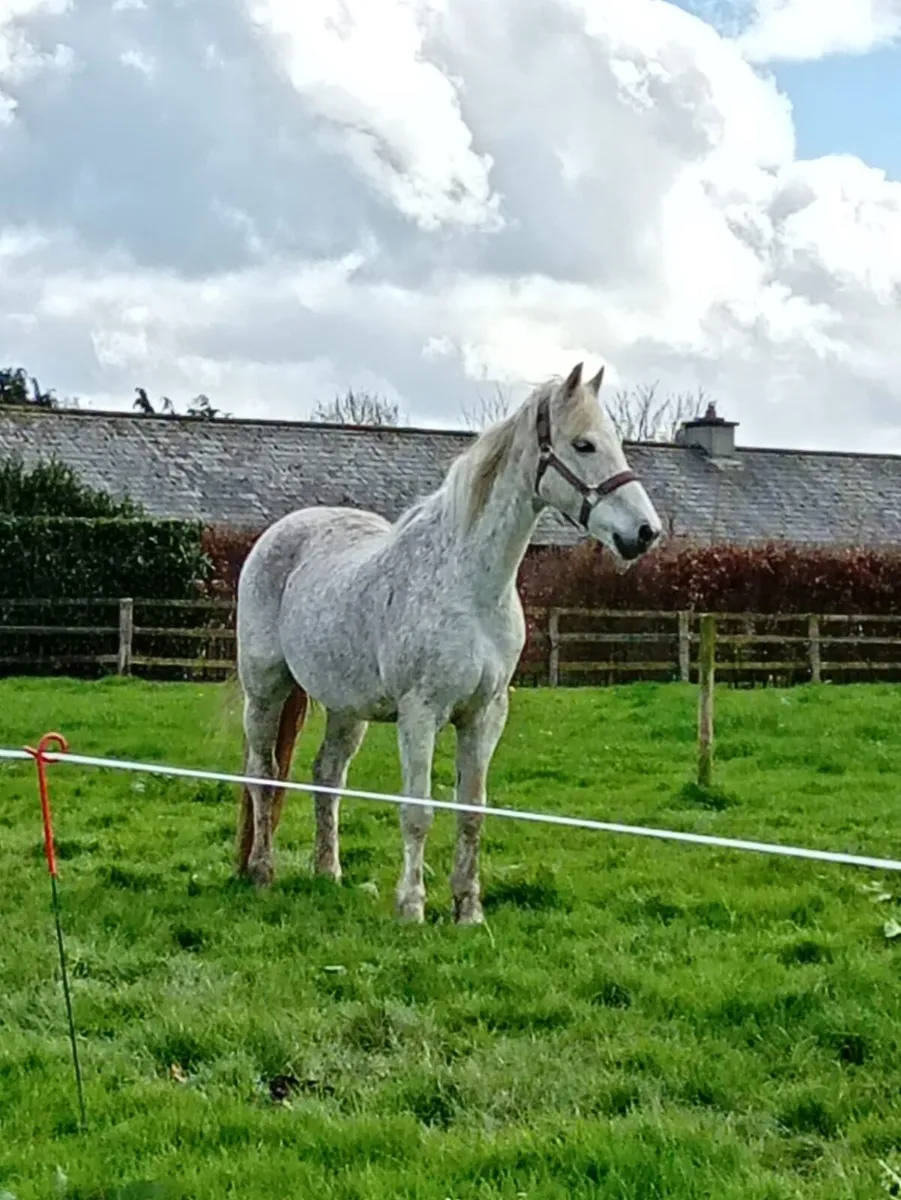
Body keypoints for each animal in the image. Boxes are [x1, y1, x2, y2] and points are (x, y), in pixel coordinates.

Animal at [234, 362, 662, 924]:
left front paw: (468, 910)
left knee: (327, 774)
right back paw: (262, 872)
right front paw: (412, 907)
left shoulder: (484, 715)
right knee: (263, 775)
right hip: (266, 690)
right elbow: (418, 812)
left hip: (346, 707)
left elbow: (471, 812)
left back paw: (329, 873)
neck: (469, 586)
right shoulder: (421, 714)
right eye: (584, 445)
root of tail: (280, 532)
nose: (646, 532)